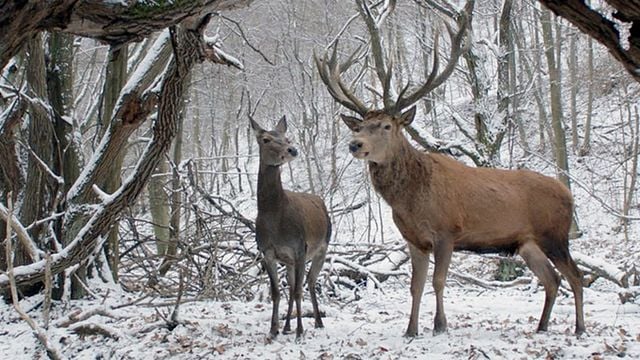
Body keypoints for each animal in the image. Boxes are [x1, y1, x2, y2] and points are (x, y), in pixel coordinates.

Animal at [250, 116, 330, 340]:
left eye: (287, 138)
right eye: (266, 139)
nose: (292, 150)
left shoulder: (300, 248)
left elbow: (297, 291)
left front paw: (300, 331)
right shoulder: (267, 252)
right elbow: (277, 292)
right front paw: (273, 330)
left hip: (322, 247)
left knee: (309, 282)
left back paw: (318, 322)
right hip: (289, 260)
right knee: (295, 284)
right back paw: (287, 327)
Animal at [316, 0, 584, 338]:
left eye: (387, 126)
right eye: (360, 125)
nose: (355, 145)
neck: (411, 200)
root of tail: (569, 193)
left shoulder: (447, 231)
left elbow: (438, 281)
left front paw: (440, 326)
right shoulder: (414, 240)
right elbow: (415, 286)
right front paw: (411, 330)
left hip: (555, 235)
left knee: (576, 276)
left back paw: (579, 328)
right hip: (527, 243)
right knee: (552, 278)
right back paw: (542, 326)